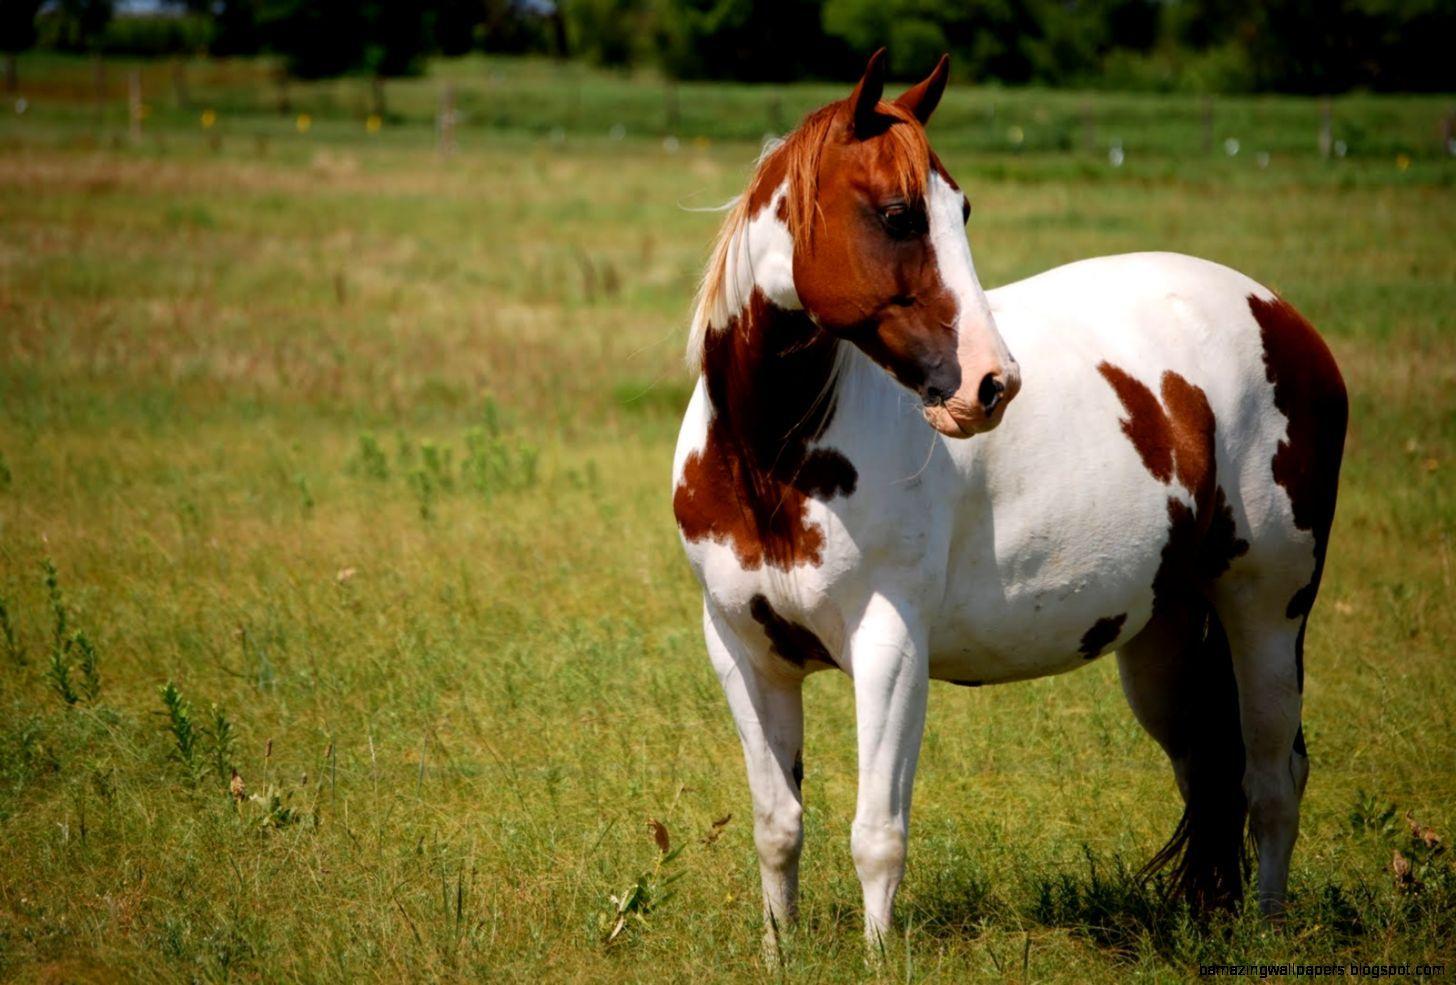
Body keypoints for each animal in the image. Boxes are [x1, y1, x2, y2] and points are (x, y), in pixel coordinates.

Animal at [670, 49, 1347, 944]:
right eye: (898, 215)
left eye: (961, 209)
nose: (992, 384)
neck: (770, 456)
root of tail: (1287, 320)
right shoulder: (744, 653)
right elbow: (778, 827)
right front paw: (781, 952)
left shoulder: (890, 647)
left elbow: (877, 835)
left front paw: (879, 955)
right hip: (1166, 638)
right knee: (1213, 773)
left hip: (1267, 608)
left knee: (1274, 779)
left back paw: (1266, 932)